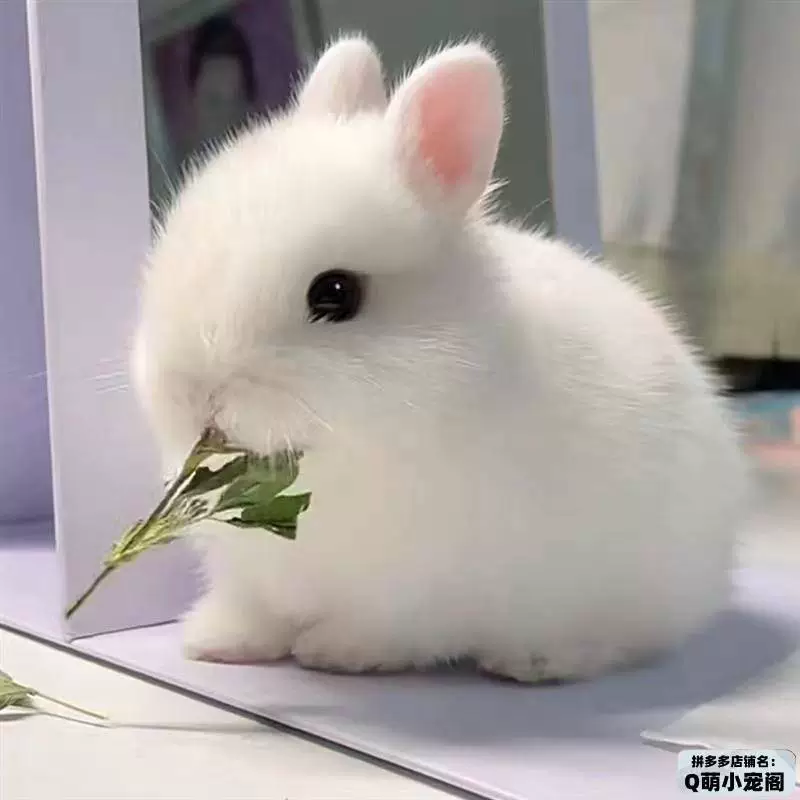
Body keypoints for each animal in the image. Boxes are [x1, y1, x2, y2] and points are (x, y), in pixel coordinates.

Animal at [131, 35, 749, 683]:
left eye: (336, 294)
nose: (187, 392)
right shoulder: (253, 579)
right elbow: (256, 612)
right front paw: (213, 641)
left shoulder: (421, 590)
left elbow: (396, 631)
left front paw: (336, 651)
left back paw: (534, 660)